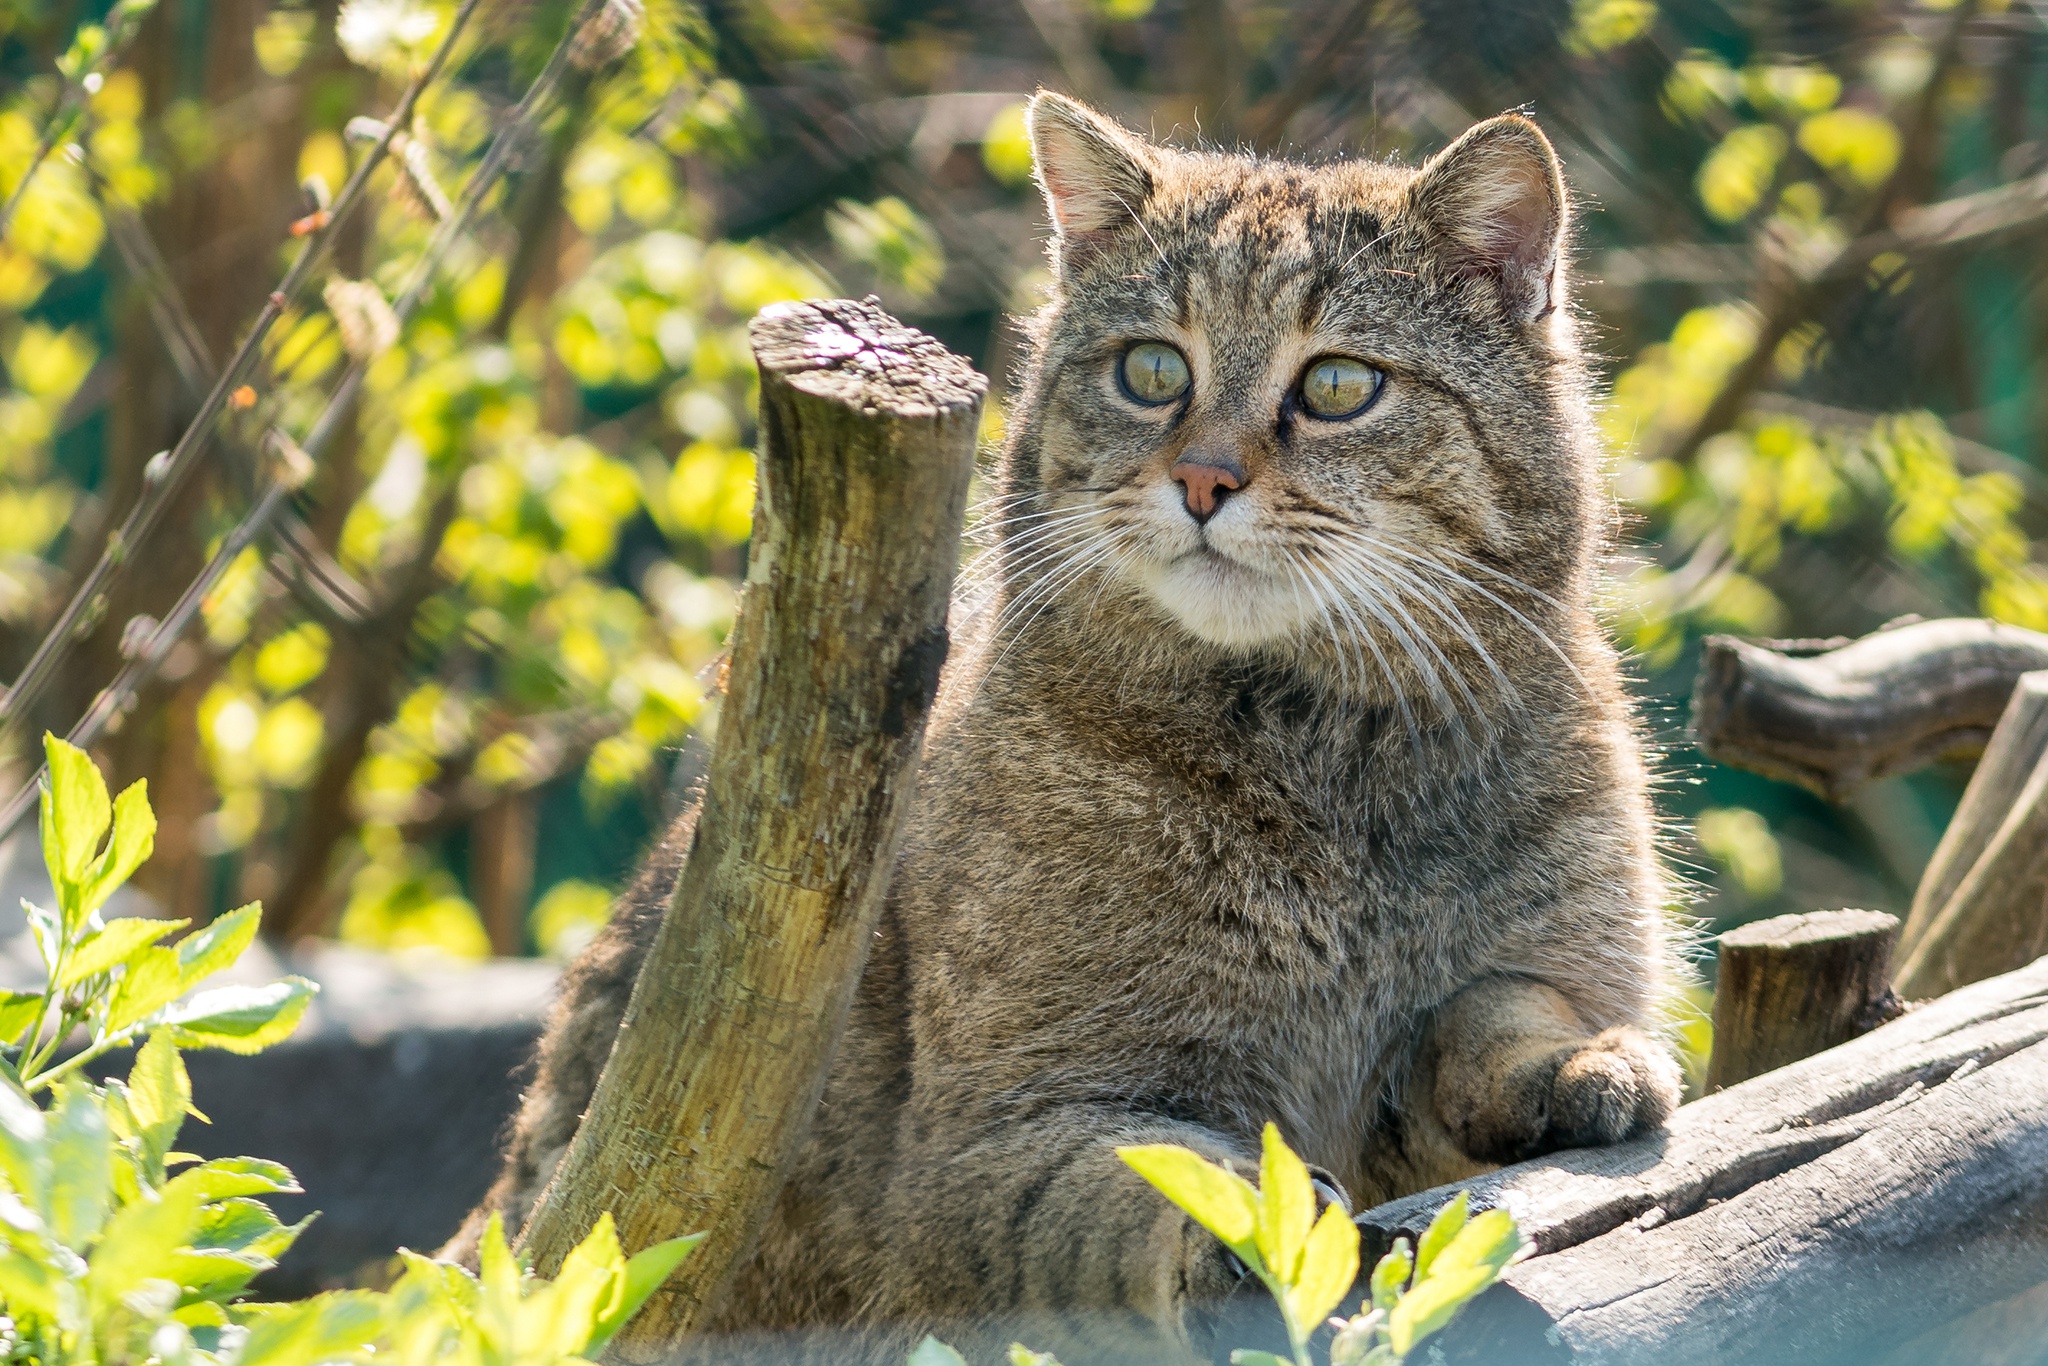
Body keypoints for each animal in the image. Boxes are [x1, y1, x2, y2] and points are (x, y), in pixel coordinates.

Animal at [456, 90, 1687, 1359]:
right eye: (1150, 369)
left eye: (1340, 386)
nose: (1201, 481)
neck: (1323, 768)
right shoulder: (1002, 1136)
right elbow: (1154, 1177)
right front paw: (1239, 1233)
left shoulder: (1520, 978)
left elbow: (1499, 1004)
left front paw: (1566, 1058)